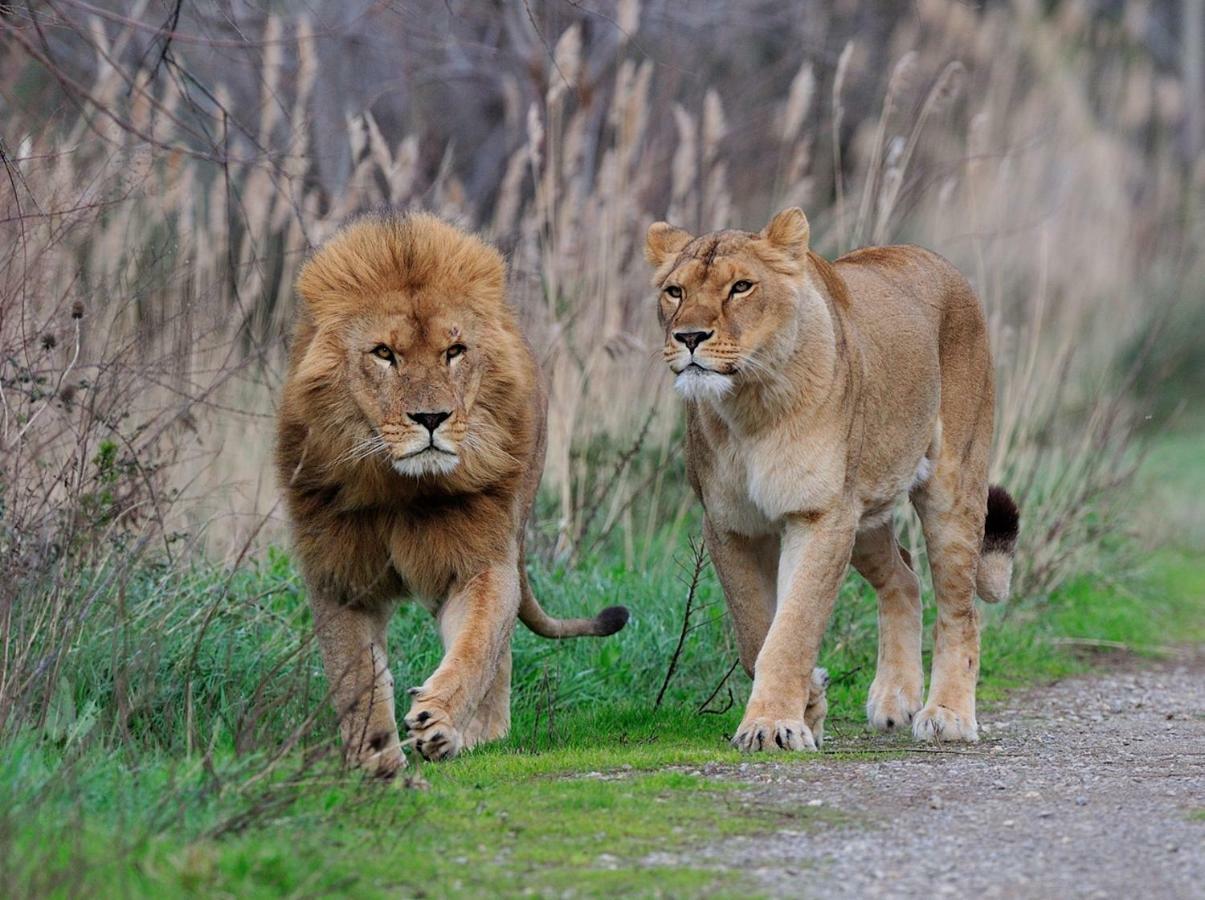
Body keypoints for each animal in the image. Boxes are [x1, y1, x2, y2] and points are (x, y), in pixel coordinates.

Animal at [275, 213, 626, 775]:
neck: (399, 489)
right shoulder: (339, 577)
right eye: (384, 353)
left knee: (499, 657)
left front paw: (437, 720)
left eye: (454, 351)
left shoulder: (481, 563)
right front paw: (376, 762)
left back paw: (477, 736)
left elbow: (476, 647)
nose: (431, 418)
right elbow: (358, 681)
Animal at [645, 207, 1021, 751]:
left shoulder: (820, 514)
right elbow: (756, 632)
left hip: (950, 490)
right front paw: (809, 702)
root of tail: (930, 256)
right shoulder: (731, 524)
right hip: (864, 511)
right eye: (675, 291)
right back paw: (895, 700)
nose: (689, 338)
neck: (750, 404)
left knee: (960, 609)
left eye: (741, 287)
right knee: (904, 578)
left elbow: (792, 627)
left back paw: (947, 715)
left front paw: (772, 725)